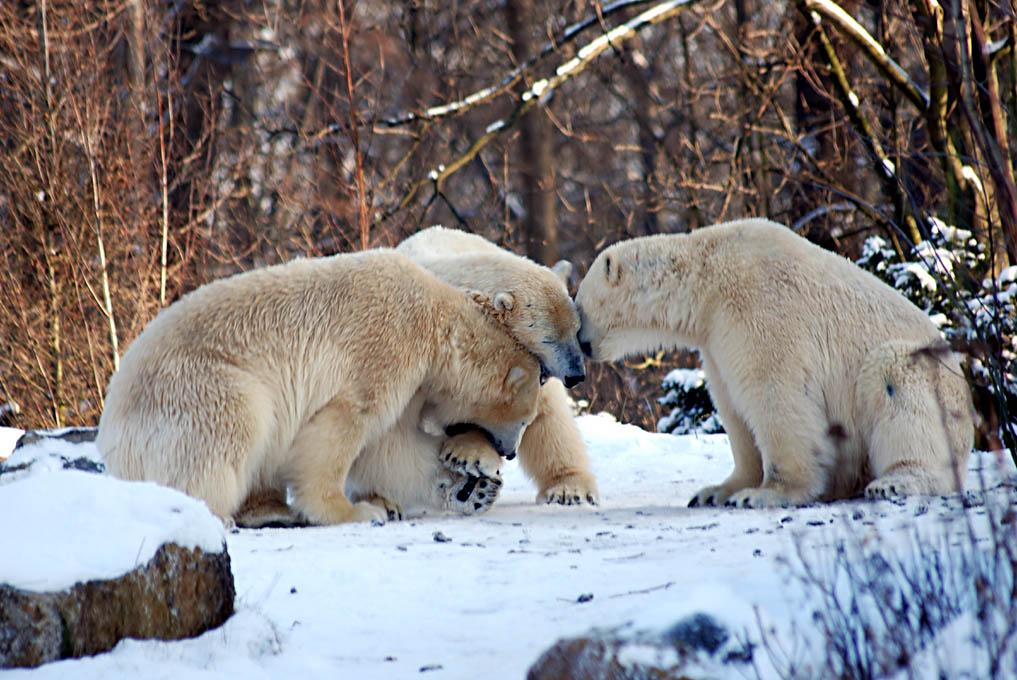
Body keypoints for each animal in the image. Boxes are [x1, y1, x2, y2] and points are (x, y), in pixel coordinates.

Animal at [95, 249, 541, 524]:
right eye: (524, 419)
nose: (508, 452)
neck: (436, 322)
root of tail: (111, 432)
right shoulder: (383, 349)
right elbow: (345, 423)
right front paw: (356, 511)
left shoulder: (411, 384)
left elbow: (391, 449)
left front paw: (473, 486)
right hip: (199, 386)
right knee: (232, 432)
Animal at [341, 225, 597, 516]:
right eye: (549, 339)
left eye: (576, 330)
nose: (576, 375)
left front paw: (467, 455)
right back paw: (380, 501)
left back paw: (568, 489)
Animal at [577, 214, 972, 506]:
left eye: (578, 306)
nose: (581, 347)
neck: (708, 280)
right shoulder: (715, 340)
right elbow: (733, 410)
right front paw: (717, 491)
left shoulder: (759, 311)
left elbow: (776, 396)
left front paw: (764, 494)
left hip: (928, 383)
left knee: (895, 383)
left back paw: (895, 481)